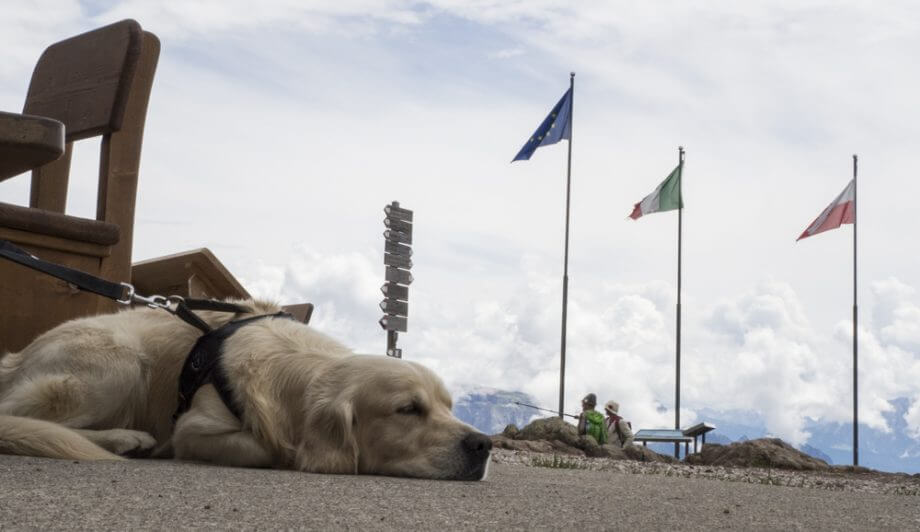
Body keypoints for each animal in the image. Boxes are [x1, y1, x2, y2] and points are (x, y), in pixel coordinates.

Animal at [0, 302, 492, 480]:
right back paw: (126, 438)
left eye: (449, 407)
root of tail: (15, 357)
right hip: (118, 362)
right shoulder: (193, 427)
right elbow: (264, 446)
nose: (483, 444)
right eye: (407, 409)